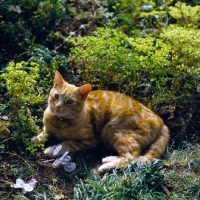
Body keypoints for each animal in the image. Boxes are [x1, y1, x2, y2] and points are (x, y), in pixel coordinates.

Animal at [32, 70, 170, 173]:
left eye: (70, 101)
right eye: (56, 96)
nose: (58, 106)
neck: (60, 121)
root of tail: (161, 120)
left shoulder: (90, 141)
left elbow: (67, 143)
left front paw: (52, 149)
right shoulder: (47, 129)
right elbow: (44, 133)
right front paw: (35, 139)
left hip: (114, 130)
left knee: (132, 157)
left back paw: (105, 166)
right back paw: (108, 159)